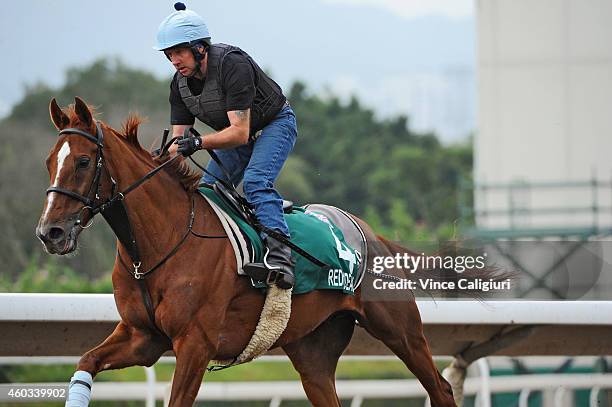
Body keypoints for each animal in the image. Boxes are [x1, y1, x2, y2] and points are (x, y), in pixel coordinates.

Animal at [35, 96, 460, 407]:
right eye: (49, 161)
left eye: (84, 161)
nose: (49, 232)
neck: (159, 246)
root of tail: (370, 233)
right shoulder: (143, 338)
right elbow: (86, 361)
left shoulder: (195, 343)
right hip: (313, 353)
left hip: (401, 330)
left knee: (440, 387)